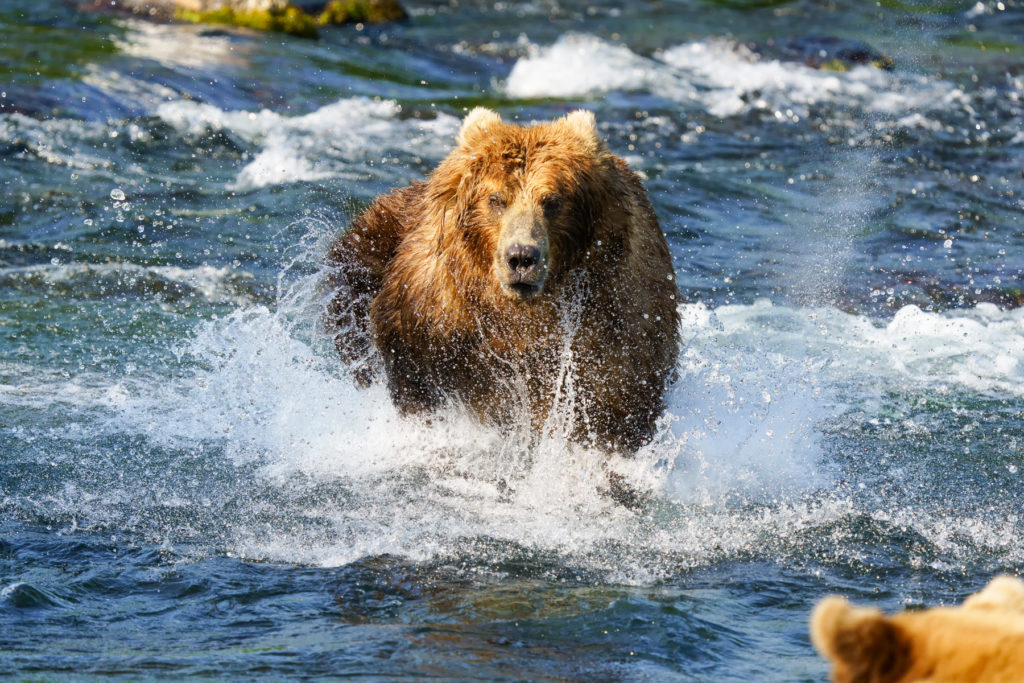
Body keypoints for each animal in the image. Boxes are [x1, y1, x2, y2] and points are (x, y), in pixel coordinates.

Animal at [323, 109, 684, 454]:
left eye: (552, 201)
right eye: (496, 199)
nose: (521, 256)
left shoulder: (615, 323)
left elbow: (613, 405)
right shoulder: (435, 316)